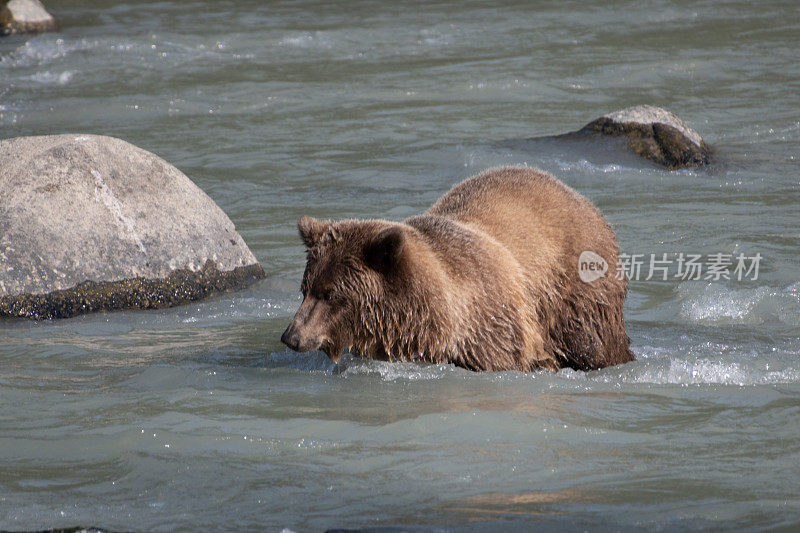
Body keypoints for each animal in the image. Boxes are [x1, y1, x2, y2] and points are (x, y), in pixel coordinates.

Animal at [280, 165, 632, 370]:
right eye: (305, 289)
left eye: (330, 294)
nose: (291, 337)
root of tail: (582, 199)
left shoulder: (494, 332)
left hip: (577, 292)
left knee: (594, 343)